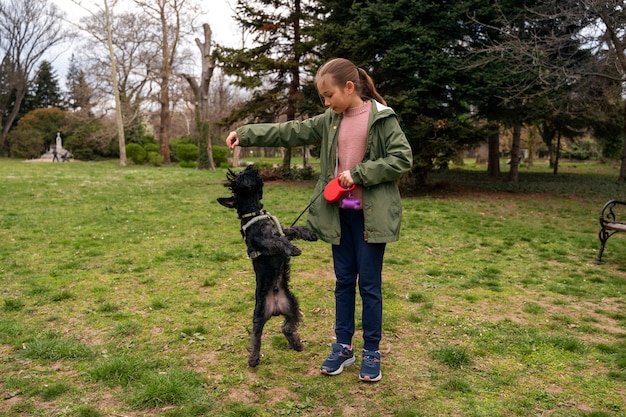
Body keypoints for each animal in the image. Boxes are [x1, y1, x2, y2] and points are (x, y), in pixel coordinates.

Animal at [218, 164, 316, 366]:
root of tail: (276, 307)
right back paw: (254, 359)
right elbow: (279, 241)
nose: (251, 166)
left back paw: (296, 344)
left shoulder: (284, 231)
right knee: (257, 335)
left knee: (286, 327)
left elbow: (295, 230)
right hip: (259, 314)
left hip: (292, 307)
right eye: (238, 178)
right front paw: (293, 249)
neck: (254, 214)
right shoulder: (265, 242)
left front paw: (310, 234)